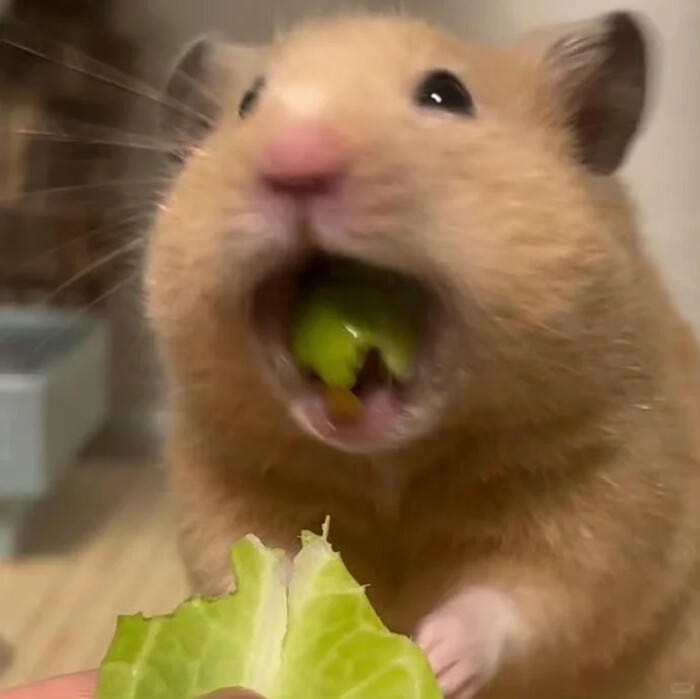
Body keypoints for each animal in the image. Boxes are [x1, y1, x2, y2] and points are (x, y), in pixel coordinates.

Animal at [146, 10, 700, 699]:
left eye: (447, 96)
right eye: (249, 103)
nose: (292, 158)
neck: (388, 463)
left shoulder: (614, 480)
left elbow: (530, 591)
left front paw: (435, 657)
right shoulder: (217, 475)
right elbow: (250, 557)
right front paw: (290, 612)